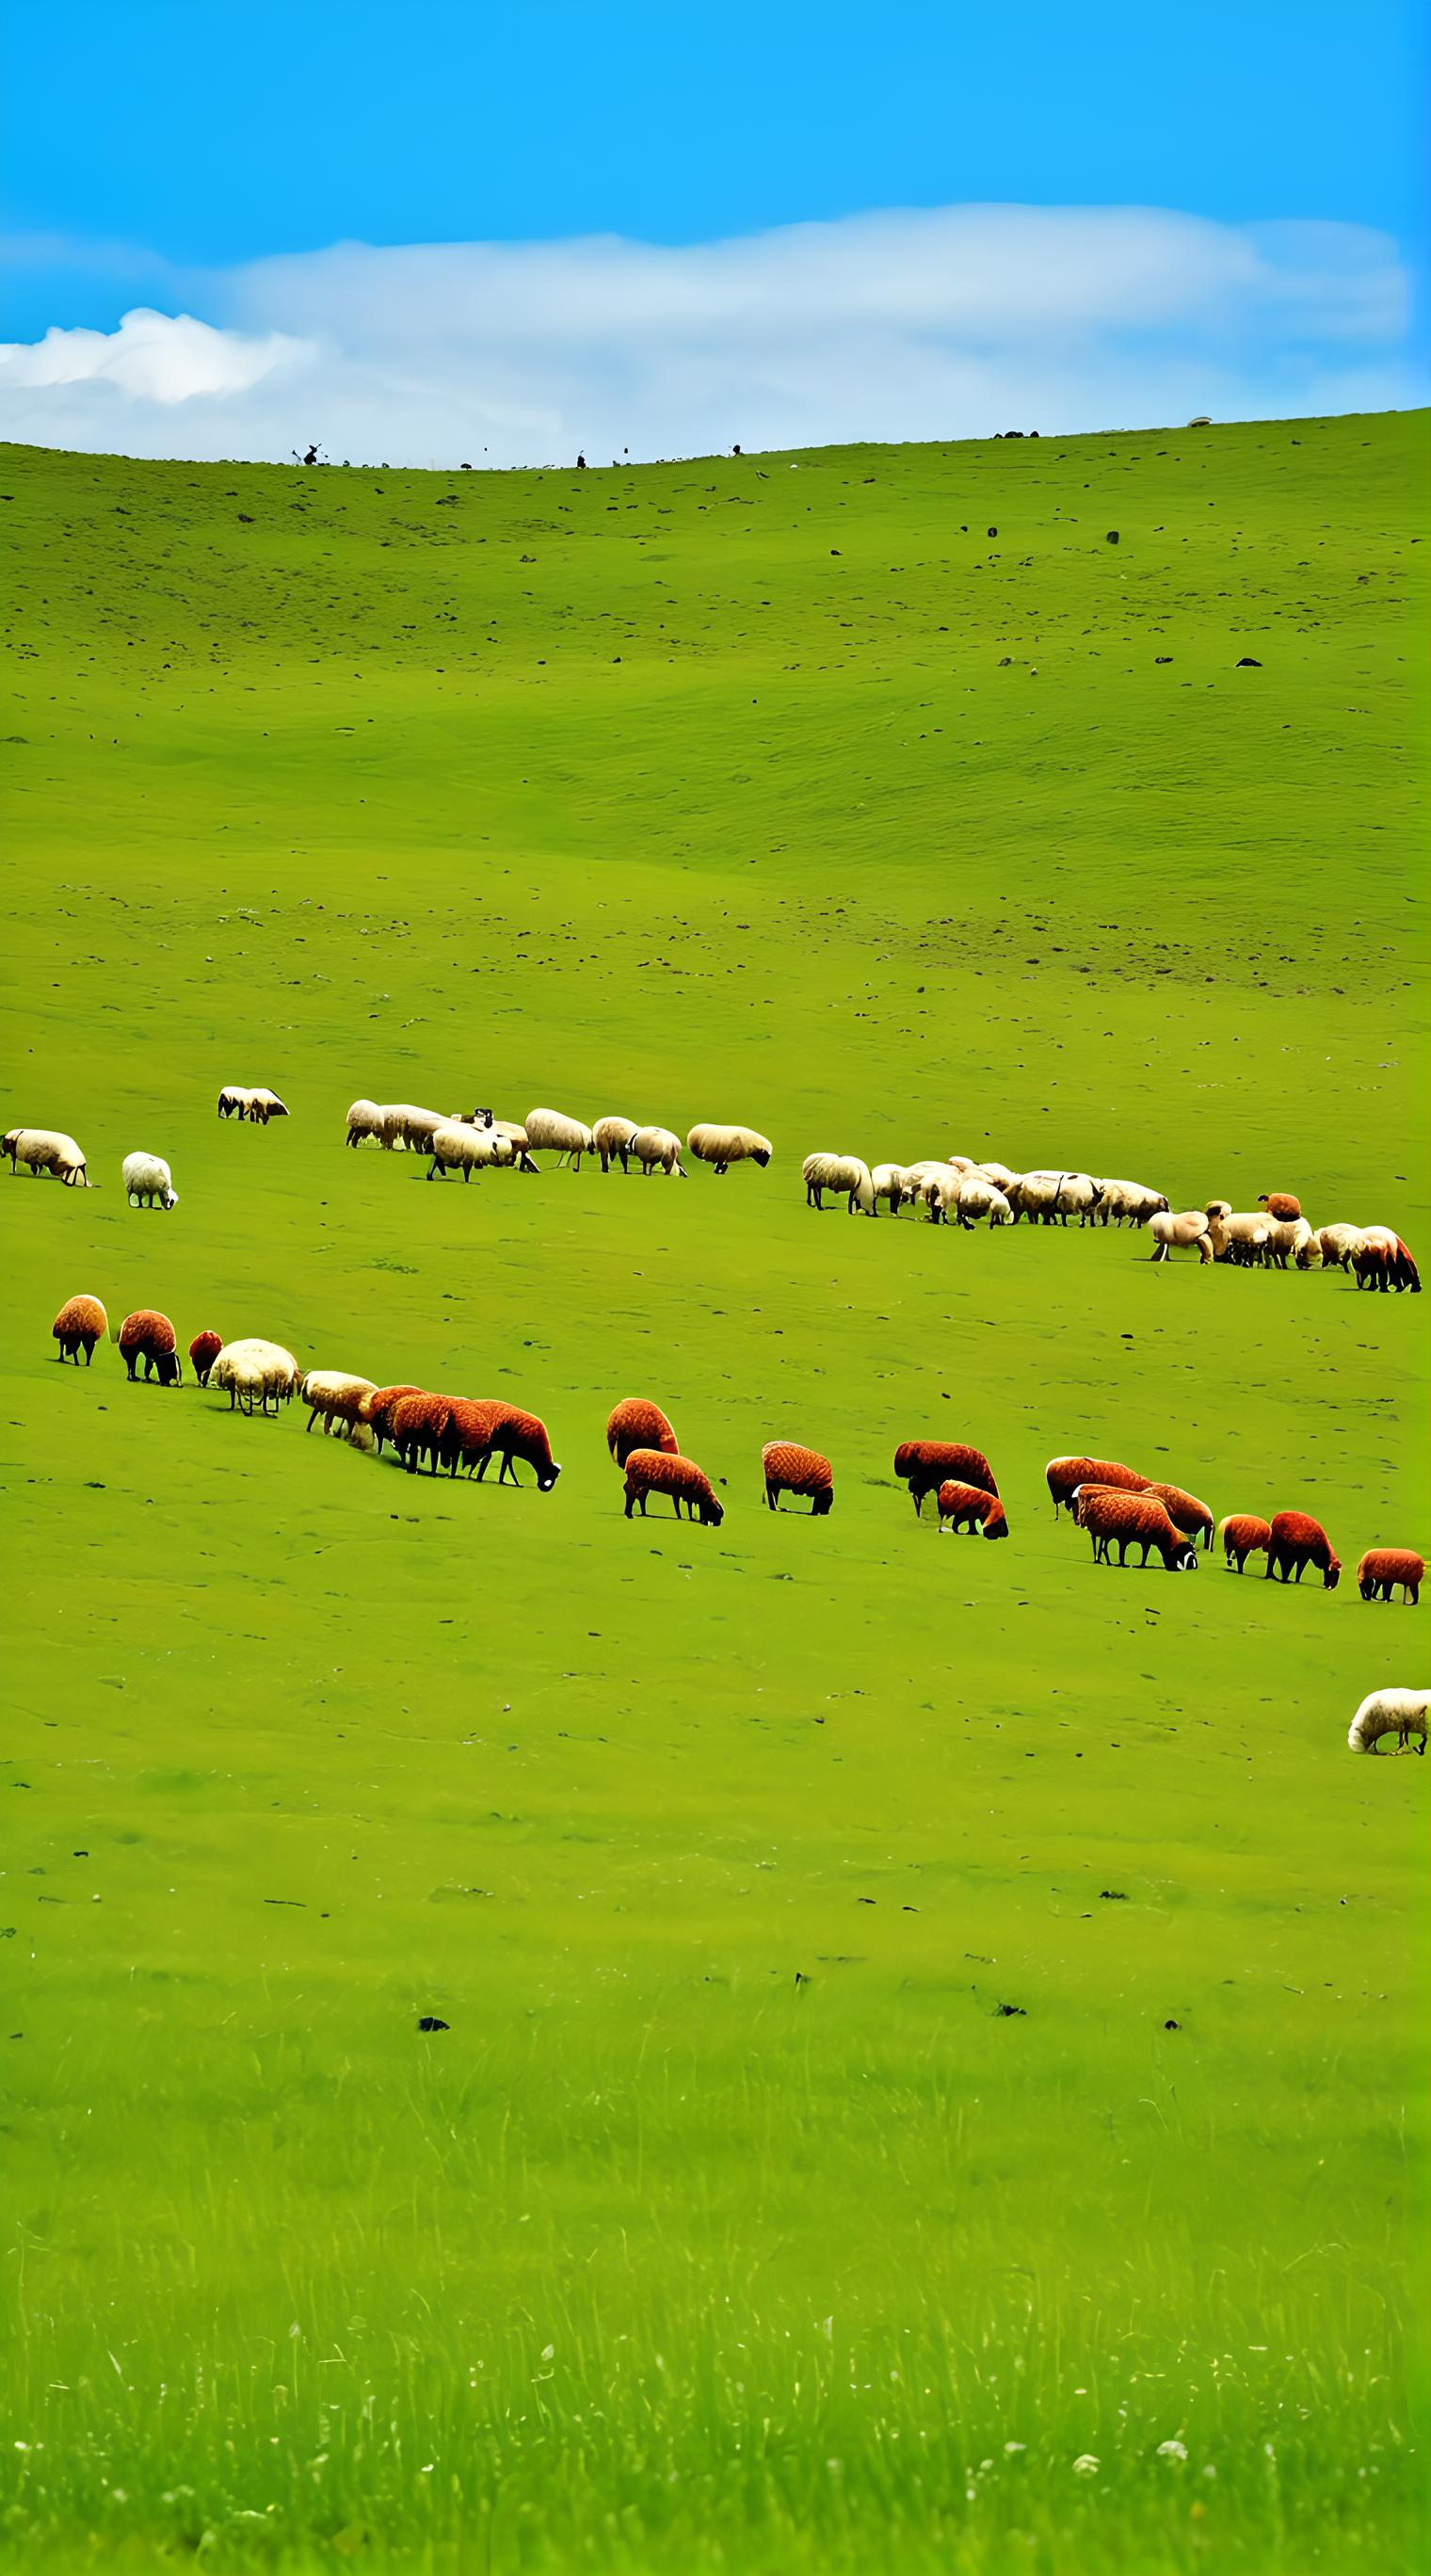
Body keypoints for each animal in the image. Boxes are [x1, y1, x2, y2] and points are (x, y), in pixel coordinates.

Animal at [1070, 1493, 1194, 1566]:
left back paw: (1101, 1560)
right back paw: (1102, 1561)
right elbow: (1136, 1552)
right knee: (1101, 1545)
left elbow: (1141, 1552)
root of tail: (1093, 1502)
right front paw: (1133, 1564)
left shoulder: (1140, 1540)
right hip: (1104, 1531)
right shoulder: (1132, 1538)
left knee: (1101, 1545)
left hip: (1104, 1532)